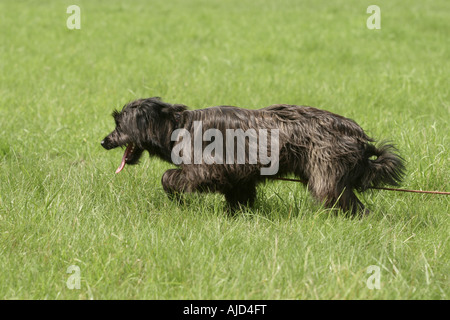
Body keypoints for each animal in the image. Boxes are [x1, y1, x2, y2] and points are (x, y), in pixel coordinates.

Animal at [101, 96, 404, 214]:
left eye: (119, 124)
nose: (103, 141)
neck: (176, 126)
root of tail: (359, 136)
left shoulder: (207, 169)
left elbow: (168, 177)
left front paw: (177, 197)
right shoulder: (239, 176)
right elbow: (239, 195)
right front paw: (238, 215)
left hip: (326, 175)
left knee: (347, 203)